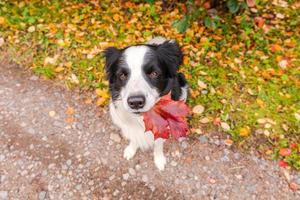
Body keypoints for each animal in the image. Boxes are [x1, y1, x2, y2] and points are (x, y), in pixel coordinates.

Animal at [103, 36, 188, 170]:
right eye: (122, 75)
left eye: (154, 73)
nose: (135, 102)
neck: (143, 118)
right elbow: (134, 137)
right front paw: (131, 150)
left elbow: (158, 144)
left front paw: (159, 160)